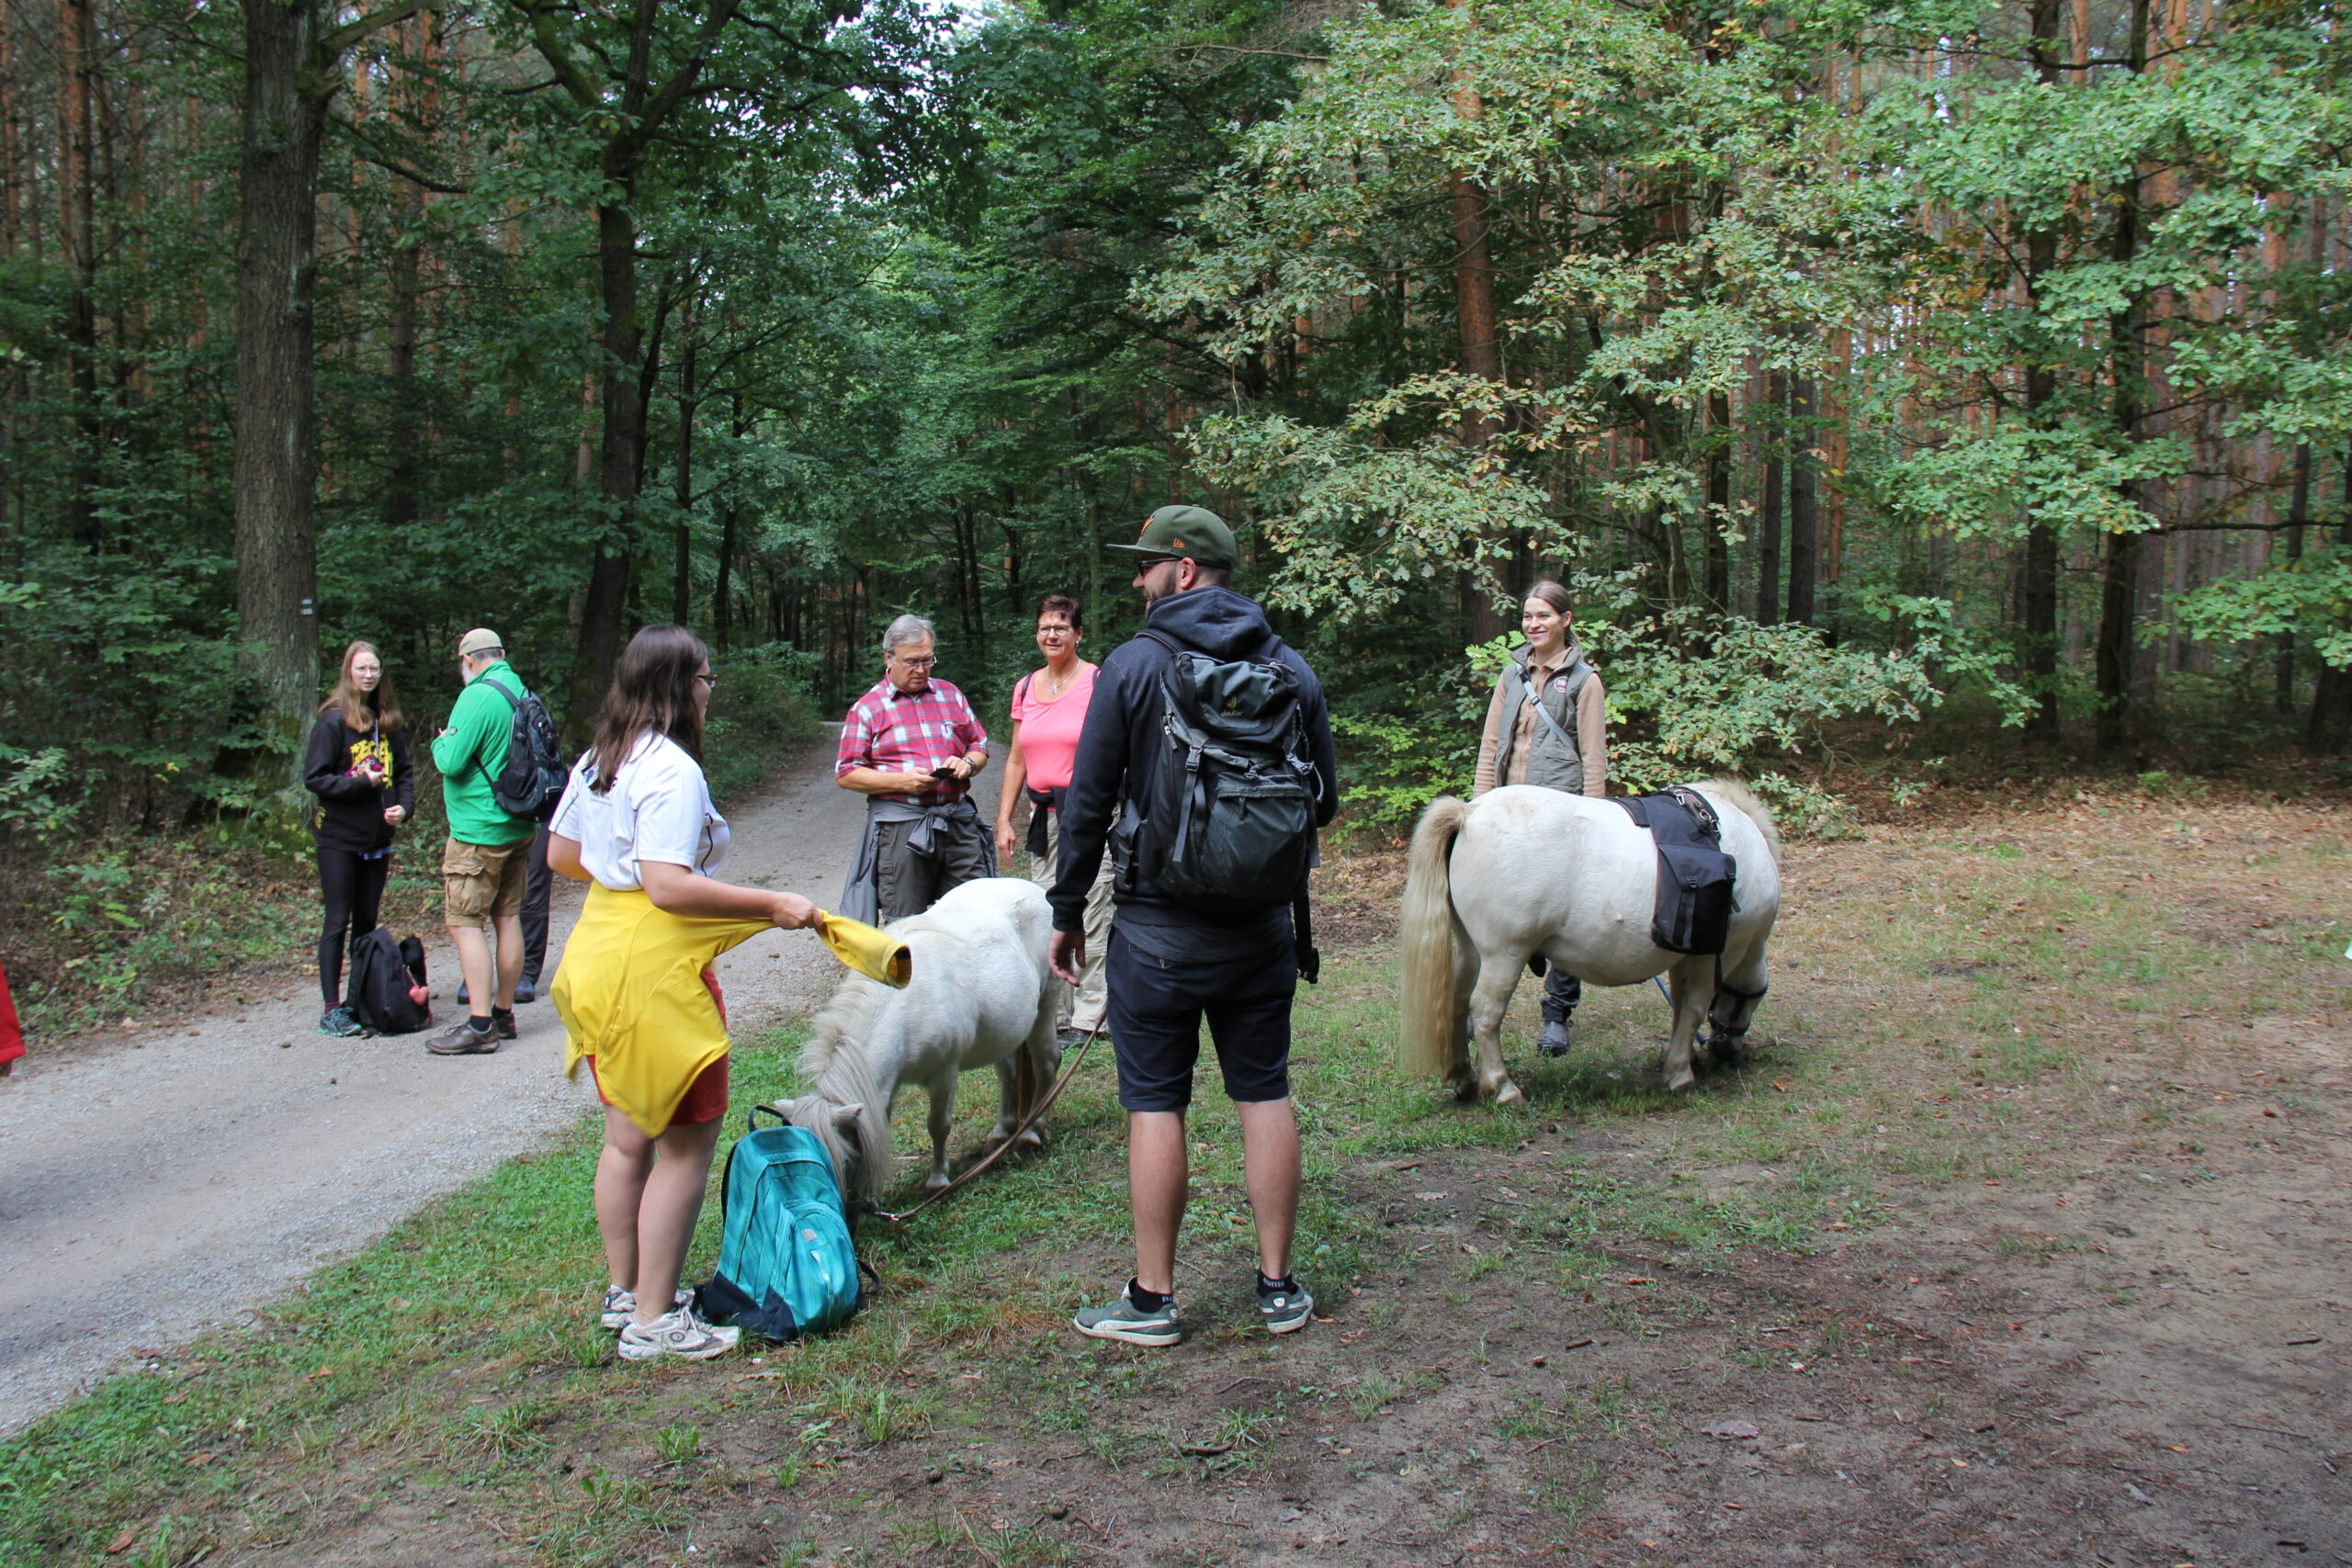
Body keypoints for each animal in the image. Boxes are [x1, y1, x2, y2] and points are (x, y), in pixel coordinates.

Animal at [775, 884, 1063, 1213]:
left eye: (843, 1160)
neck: (901, 1006)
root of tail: (1036, 892)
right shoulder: (884, 1086)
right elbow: (879, 1126)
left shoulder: (944, 1075)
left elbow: (938, 1125)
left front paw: (937, 1181)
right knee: (1009, 1073)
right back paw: (1002, 1131)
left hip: (1046, 1004)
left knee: (1047, 1064)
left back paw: (1031, 1132)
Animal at [1392, 780, 1778, 1104]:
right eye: (1755, 999)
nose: (1729, 1051)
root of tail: (1469, 814)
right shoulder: (1718, 953)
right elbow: (1695, 1007)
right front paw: (1681, 1073)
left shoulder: (1686, 956)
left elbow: (1682, 1007)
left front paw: (1682, 1060)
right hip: (1505, 954)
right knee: (1485, 1011)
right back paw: (1503, 1087)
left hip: (1473, 951)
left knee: (1457, 1004)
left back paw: (1464, 1078)